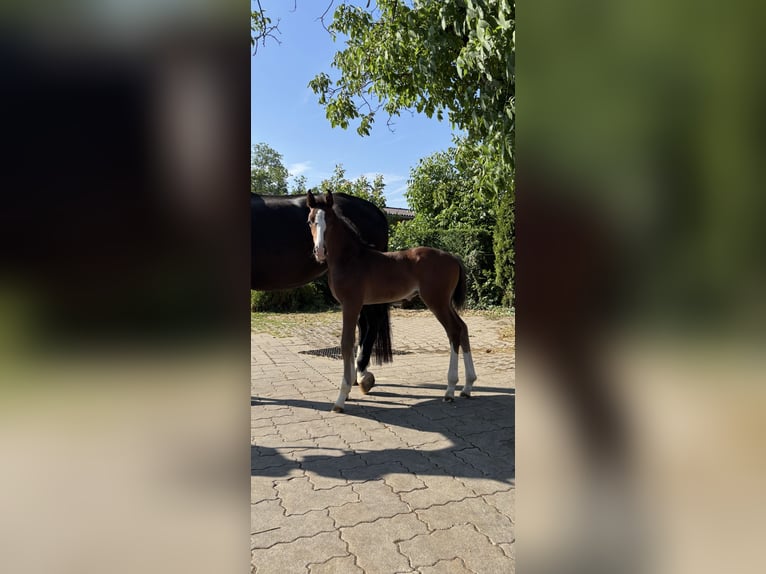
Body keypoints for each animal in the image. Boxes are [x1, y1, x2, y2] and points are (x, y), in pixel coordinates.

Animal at [306, 190, 477, 413]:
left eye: (331, 221)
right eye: (310, 221)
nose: (319, 251)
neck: (350, 259)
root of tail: (453, 257)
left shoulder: (351, 304)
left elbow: (346, 343)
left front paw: (341, 399)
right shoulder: (356, 305)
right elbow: (353, 342)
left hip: (436, 301)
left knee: (453, 331)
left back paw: (450, 390)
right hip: (445, 302)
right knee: (463, 328)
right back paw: (467, 386)